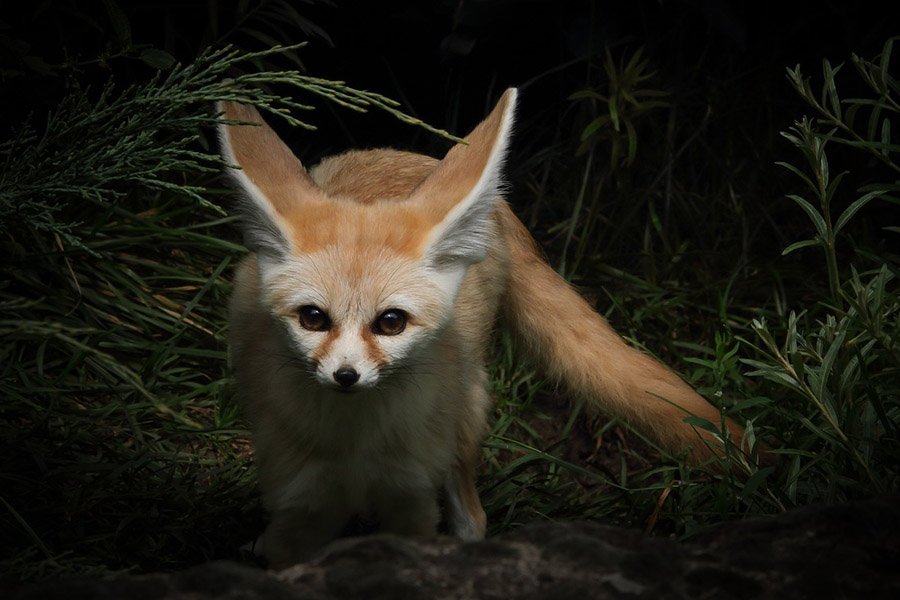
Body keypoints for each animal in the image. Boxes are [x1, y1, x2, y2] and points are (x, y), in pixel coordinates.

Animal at [217, 88, 747, 569]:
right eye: (313, 317)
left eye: (391, 322)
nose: (346, 376)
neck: (356, 445)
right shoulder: (300, 501)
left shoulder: (410, 501)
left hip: (465, 420)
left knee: (473, 514)